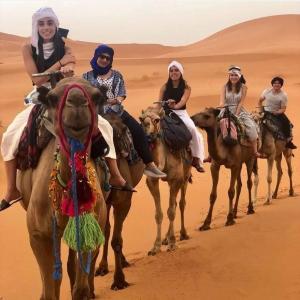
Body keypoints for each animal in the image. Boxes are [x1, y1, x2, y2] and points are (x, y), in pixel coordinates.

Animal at [17, 77, 107, 300]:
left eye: (97, 96)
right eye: (52, 98)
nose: (76, 101)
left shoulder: (91, 227)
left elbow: (80, 288)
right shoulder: (39, 235)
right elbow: (51, 289)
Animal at [139, 106, 191, 254]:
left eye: (157, 120)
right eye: (141, 119)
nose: (148, 134)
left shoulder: (177, 179)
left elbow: (171, 211)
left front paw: (172, 243)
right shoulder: (151, 181)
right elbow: (159, 213)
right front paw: (155, 246)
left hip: (185, 176)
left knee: (181, 203)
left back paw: (183, 234)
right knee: (174, 204)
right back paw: (165, 239)